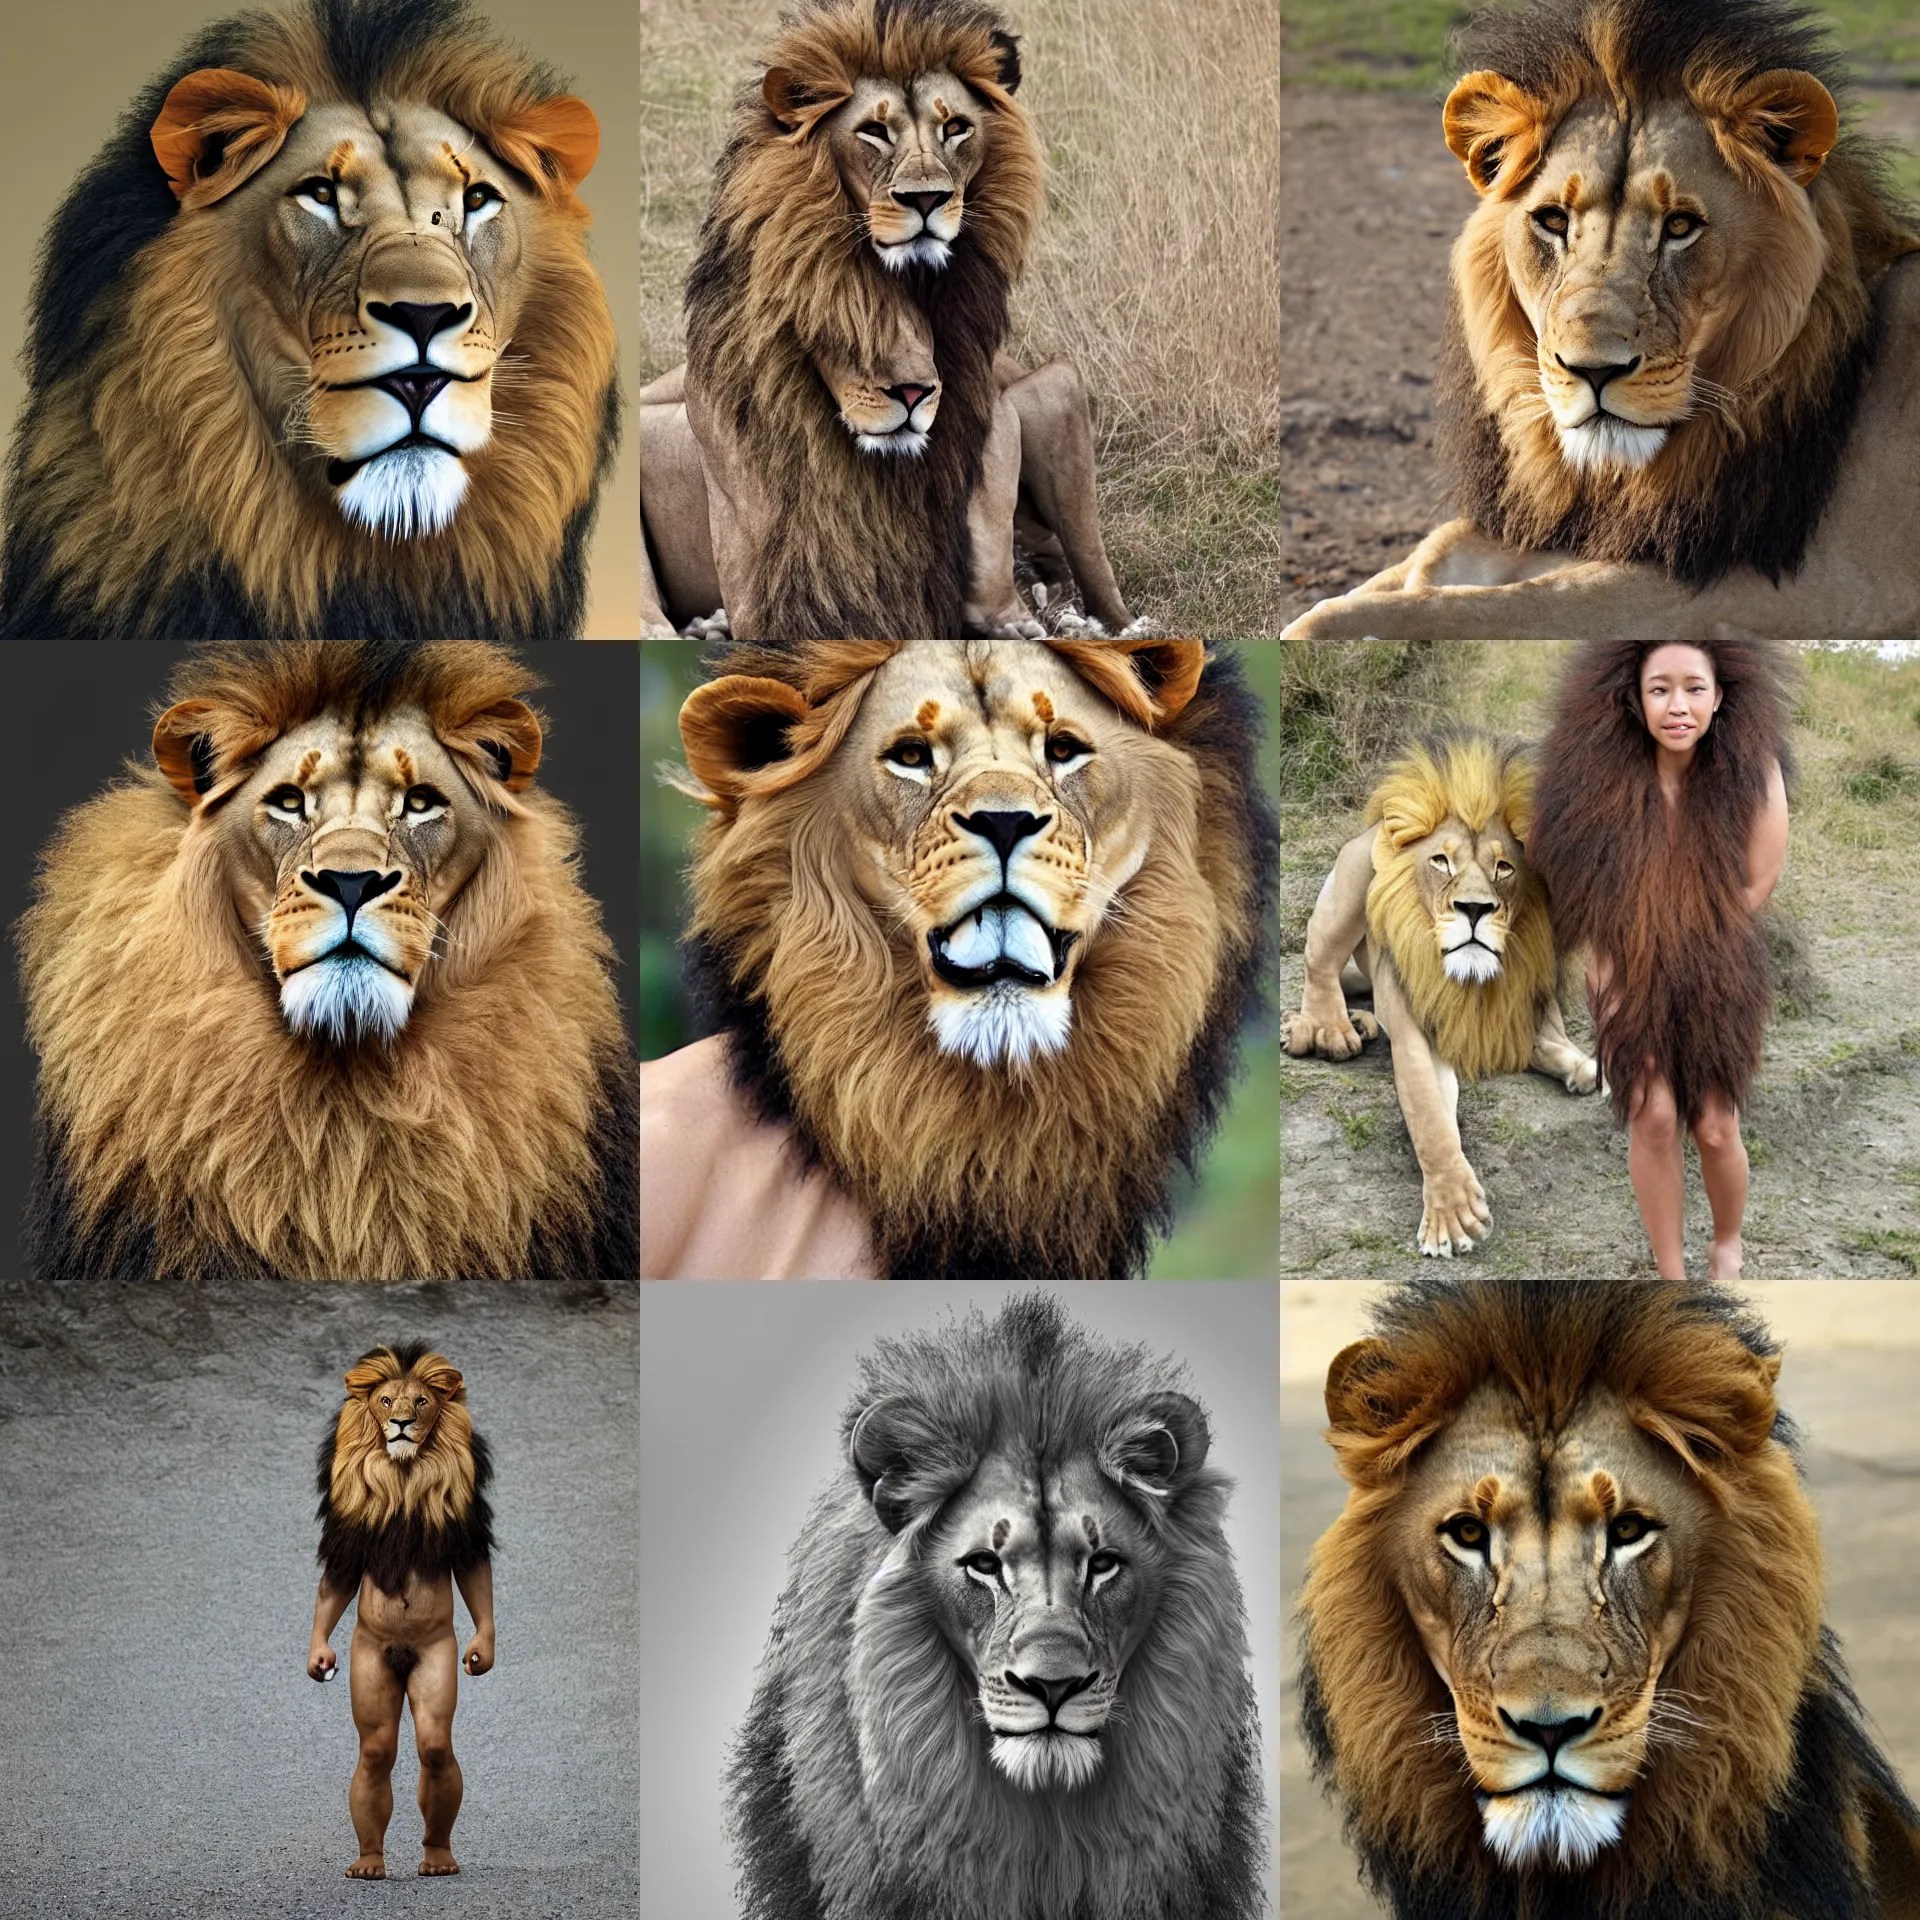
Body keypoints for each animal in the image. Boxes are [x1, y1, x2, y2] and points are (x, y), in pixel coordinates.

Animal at [309, 1342, 495, 1879]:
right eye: (387, 1401)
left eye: (422, 1402)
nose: (402, 1423)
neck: (405, 1476)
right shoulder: (348, 1537)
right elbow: (337, 1583)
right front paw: (317, 1656)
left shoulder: (465, 1528)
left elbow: (475, 1577)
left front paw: (483, 1650)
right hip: (369, 1667)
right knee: (375, 1756)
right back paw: (369, 1863)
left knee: (434, 1752)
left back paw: (438, 1859)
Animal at [1282, 0, 1920, 642]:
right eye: (1552, 220)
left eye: (1681, 225)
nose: (1592, 371)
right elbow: (1441, 549)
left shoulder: (1811, 585)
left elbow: (1520, 602)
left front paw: (1321, 625)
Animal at [1283, 732, 1596, 1257]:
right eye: (1441, 861)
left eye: (1504, 868)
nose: (1474, 908)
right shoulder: (1418, 1037)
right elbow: (1430, 1118)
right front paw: (1452, 1213)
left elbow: (1546, 1036)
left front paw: (1581, 1065)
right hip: (1349, 890)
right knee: (1318, 962)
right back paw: (1325, 1029)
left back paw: (1363, 1024)